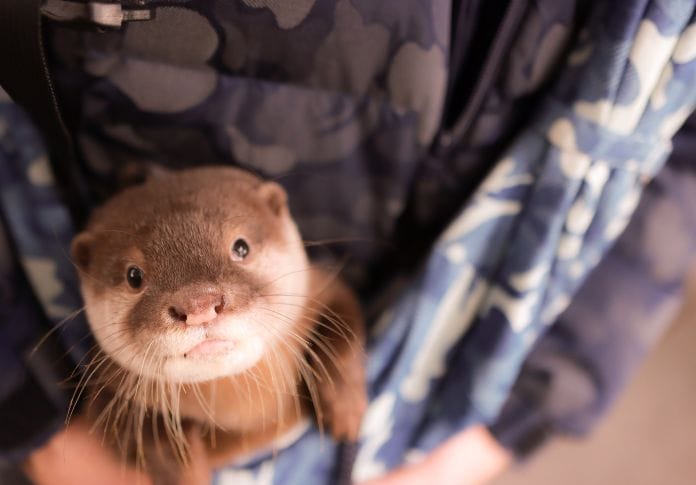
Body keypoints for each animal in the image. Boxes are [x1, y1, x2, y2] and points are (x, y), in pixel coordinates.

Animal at [70, 166, 367, 484]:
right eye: (134, 276)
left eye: (241, 247)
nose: (197, 304)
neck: (244, 415)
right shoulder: (103, 391)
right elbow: (151, 442)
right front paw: (189, 474)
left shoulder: (323, 288)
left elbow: (344, 333)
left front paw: (346, 409)